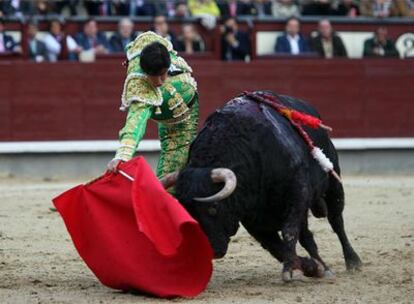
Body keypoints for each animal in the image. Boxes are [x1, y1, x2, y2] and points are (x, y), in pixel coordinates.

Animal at [160, 91, 360, 282]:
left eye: (213, 208)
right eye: (187, 213)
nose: (211, 251)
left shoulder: (298, 193)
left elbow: (288, 232)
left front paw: (289, 270)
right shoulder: (254, 221)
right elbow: (276, 247)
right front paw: (312, 267)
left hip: (333, 183)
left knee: (336, 221)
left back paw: (353, 261)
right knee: (307, 238)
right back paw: (324, 267)